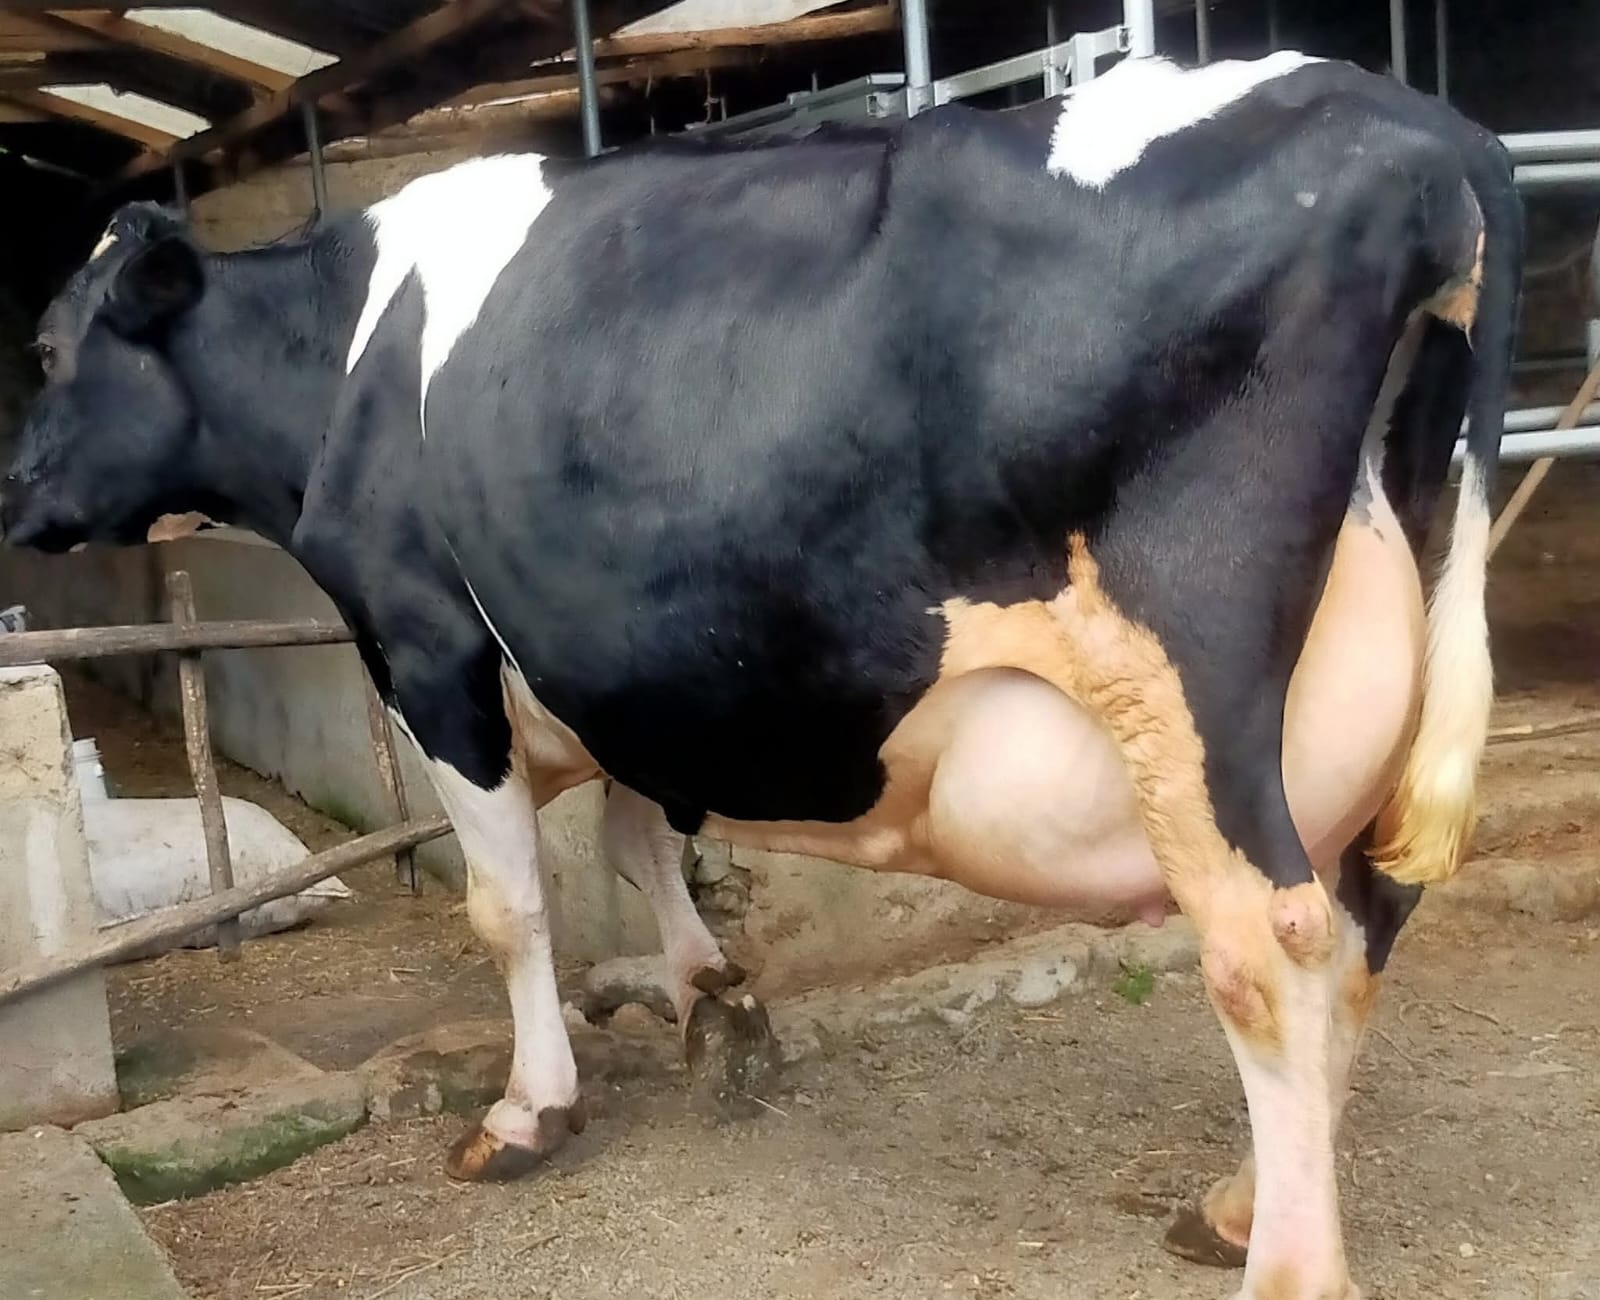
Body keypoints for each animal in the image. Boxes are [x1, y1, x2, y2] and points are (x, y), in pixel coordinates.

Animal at [2, 49, 1520, 1300]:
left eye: (46, 347)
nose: (10, 495)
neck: (342, 354)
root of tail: (1419, 127)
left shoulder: (429, 643)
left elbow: (510, 906)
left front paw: (528, 1111)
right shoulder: (627, 658)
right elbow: (638, 829)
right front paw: (709, 985)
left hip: (1188, 676)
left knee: (1271, 945)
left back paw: (1283, 1259)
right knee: (1366, 917)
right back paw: (1232, 1201)